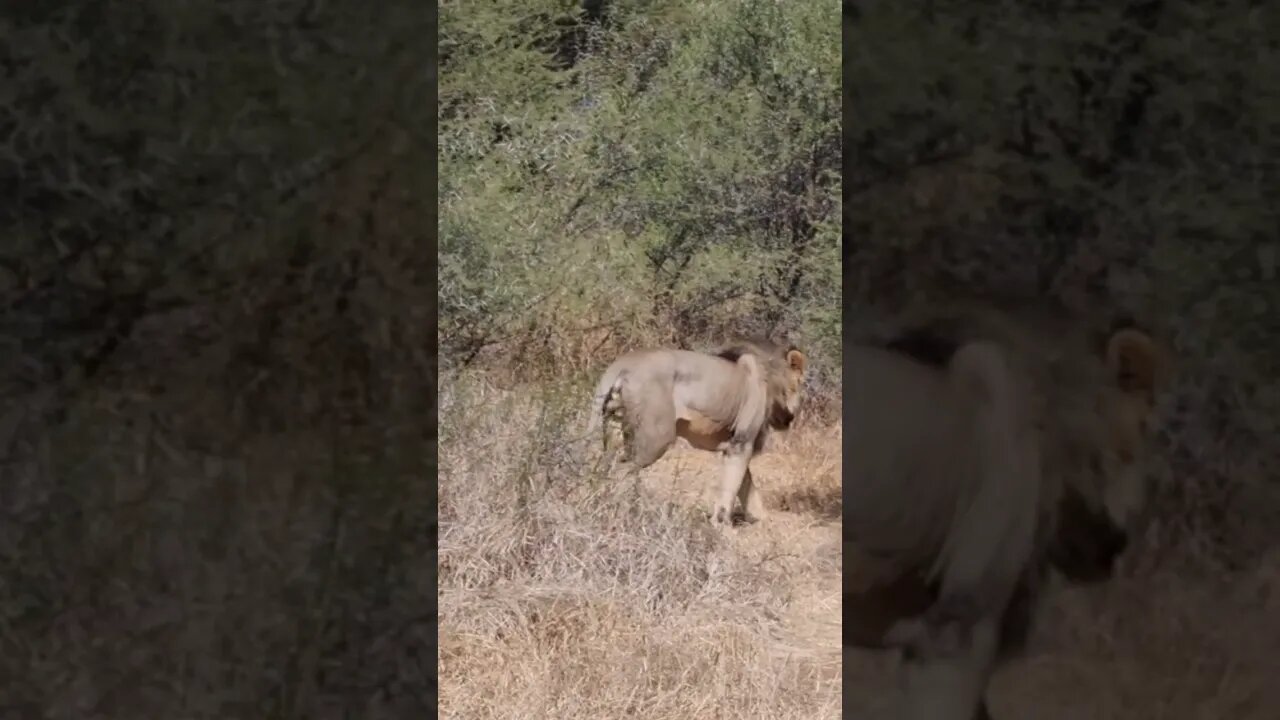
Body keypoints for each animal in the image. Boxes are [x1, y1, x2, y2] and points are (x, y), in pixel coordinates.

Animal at [586, 335, 803, 527]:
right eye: (799, 385)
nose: (792, 417)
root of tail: (622, 366)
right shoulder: (741, 442)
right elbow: (731, 487)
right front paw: (722, 526)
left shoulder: (735, 445)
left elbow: (747, 487)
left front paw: (762, 519)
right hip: (656, 439)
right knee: (621, 469)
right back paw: (619, 508)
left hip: (612, 427)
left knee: (603, 467)